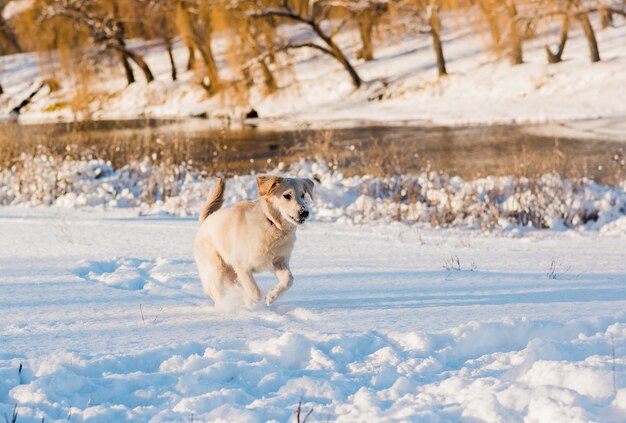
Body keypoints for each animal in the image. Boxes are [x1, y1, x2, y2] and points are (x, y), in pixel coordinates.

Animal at [193, 176, 312, 308]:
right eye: (287, 196)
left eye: (302, 195)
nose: (305, 212)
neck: (272, 224)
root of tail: (206, 220)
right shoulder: (241, 266)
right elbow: (255, 292)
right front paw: (248, 300)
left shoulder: (278, 261)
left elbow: (289, 280)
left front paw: (271, 297)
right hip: (218, 270)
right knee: (219, 292)